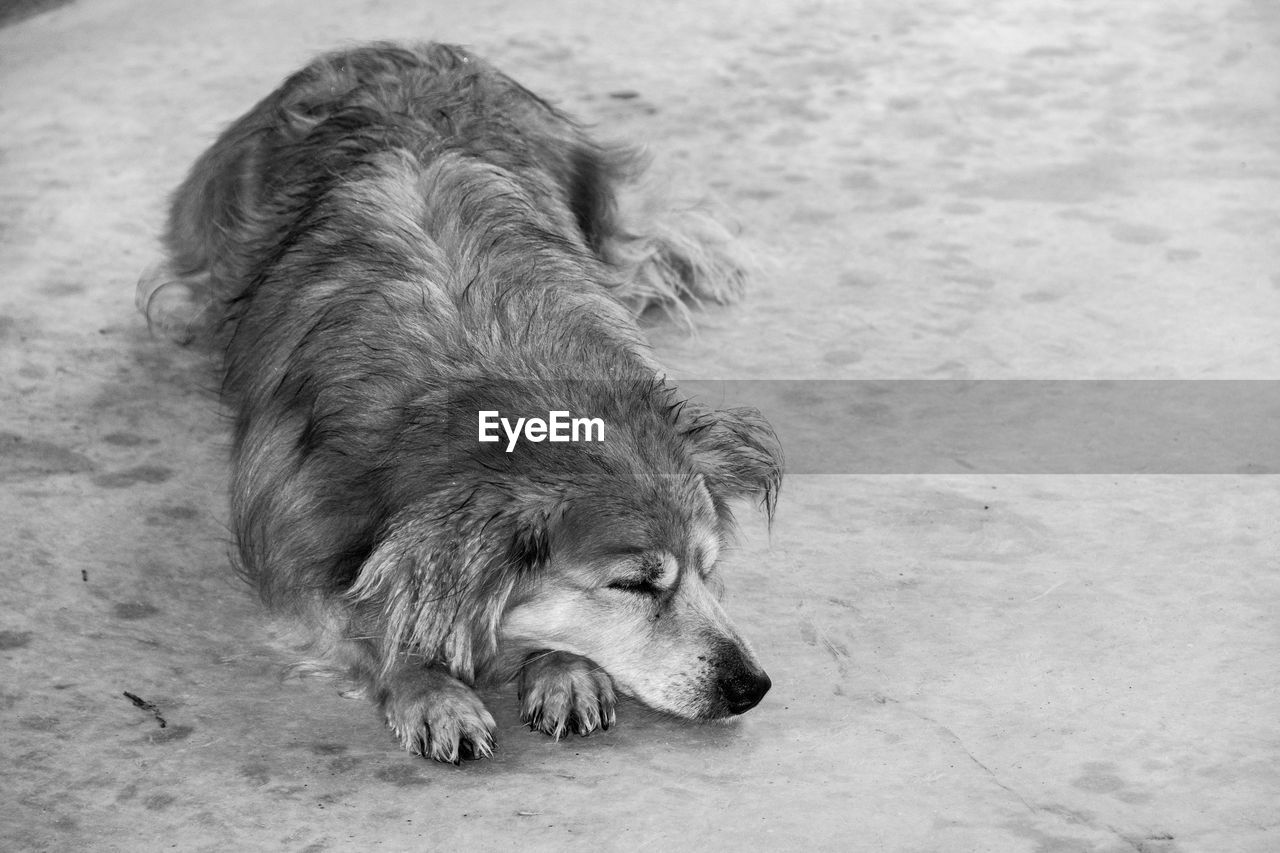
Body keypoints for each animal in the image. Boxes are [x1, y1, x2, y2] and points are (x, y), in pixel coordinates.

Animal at [140, 39, 778, 758]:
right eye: (635, 583)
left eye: (708, 567)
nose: (754, 686)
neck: (489, 363)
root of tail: (383, 46)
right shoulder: (290, 543)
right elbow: (371, 618)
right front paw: (429, 689)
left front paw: (563, 668)